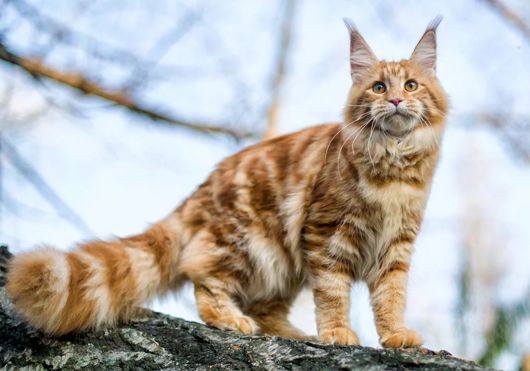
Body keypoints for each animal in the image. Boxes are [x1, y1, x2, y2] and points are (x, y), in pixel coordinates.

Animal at [7, 16, 446, 348]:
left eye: (411, 85)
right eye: (378, 87)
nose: (395, 101)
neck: (393, 165)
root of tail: (198, 193)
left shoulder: (396, 246)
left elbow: (391, 297)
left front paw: (395, 335)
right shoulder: (327, 235)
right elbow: (333, 294)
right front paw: (337, 332)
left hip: (282, 265)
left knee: (265, 309)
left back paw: (294, 334)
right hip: (248, 243)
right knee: (205, 282)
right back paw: (231, 320)